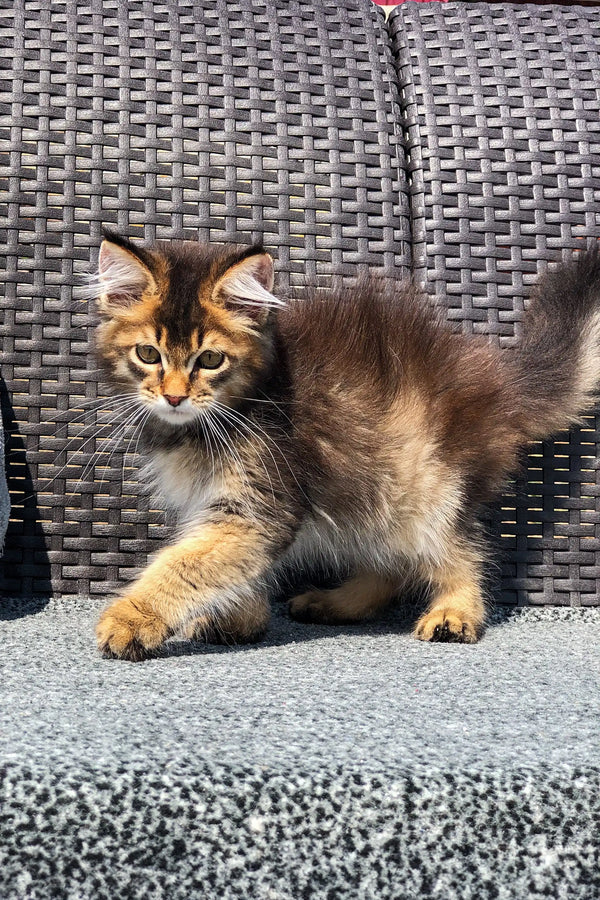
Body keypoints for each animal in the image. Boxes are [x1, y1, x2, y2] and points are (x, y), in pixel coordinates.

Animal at [91, 230, 600, 660]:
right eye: (148, 354)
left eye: (211, 359)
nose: (174, 396)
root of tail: (502, 381)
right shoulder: (227, 508)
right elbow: (229, 566)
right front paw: (241, 619)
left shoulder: (260, 502)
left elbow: (186, 565)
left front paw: (133, 618)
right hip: (384, 487)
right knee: (391, 565)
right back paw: (337, 603)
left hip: (432, 486)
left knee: (460, 551)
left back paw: (456, 612)